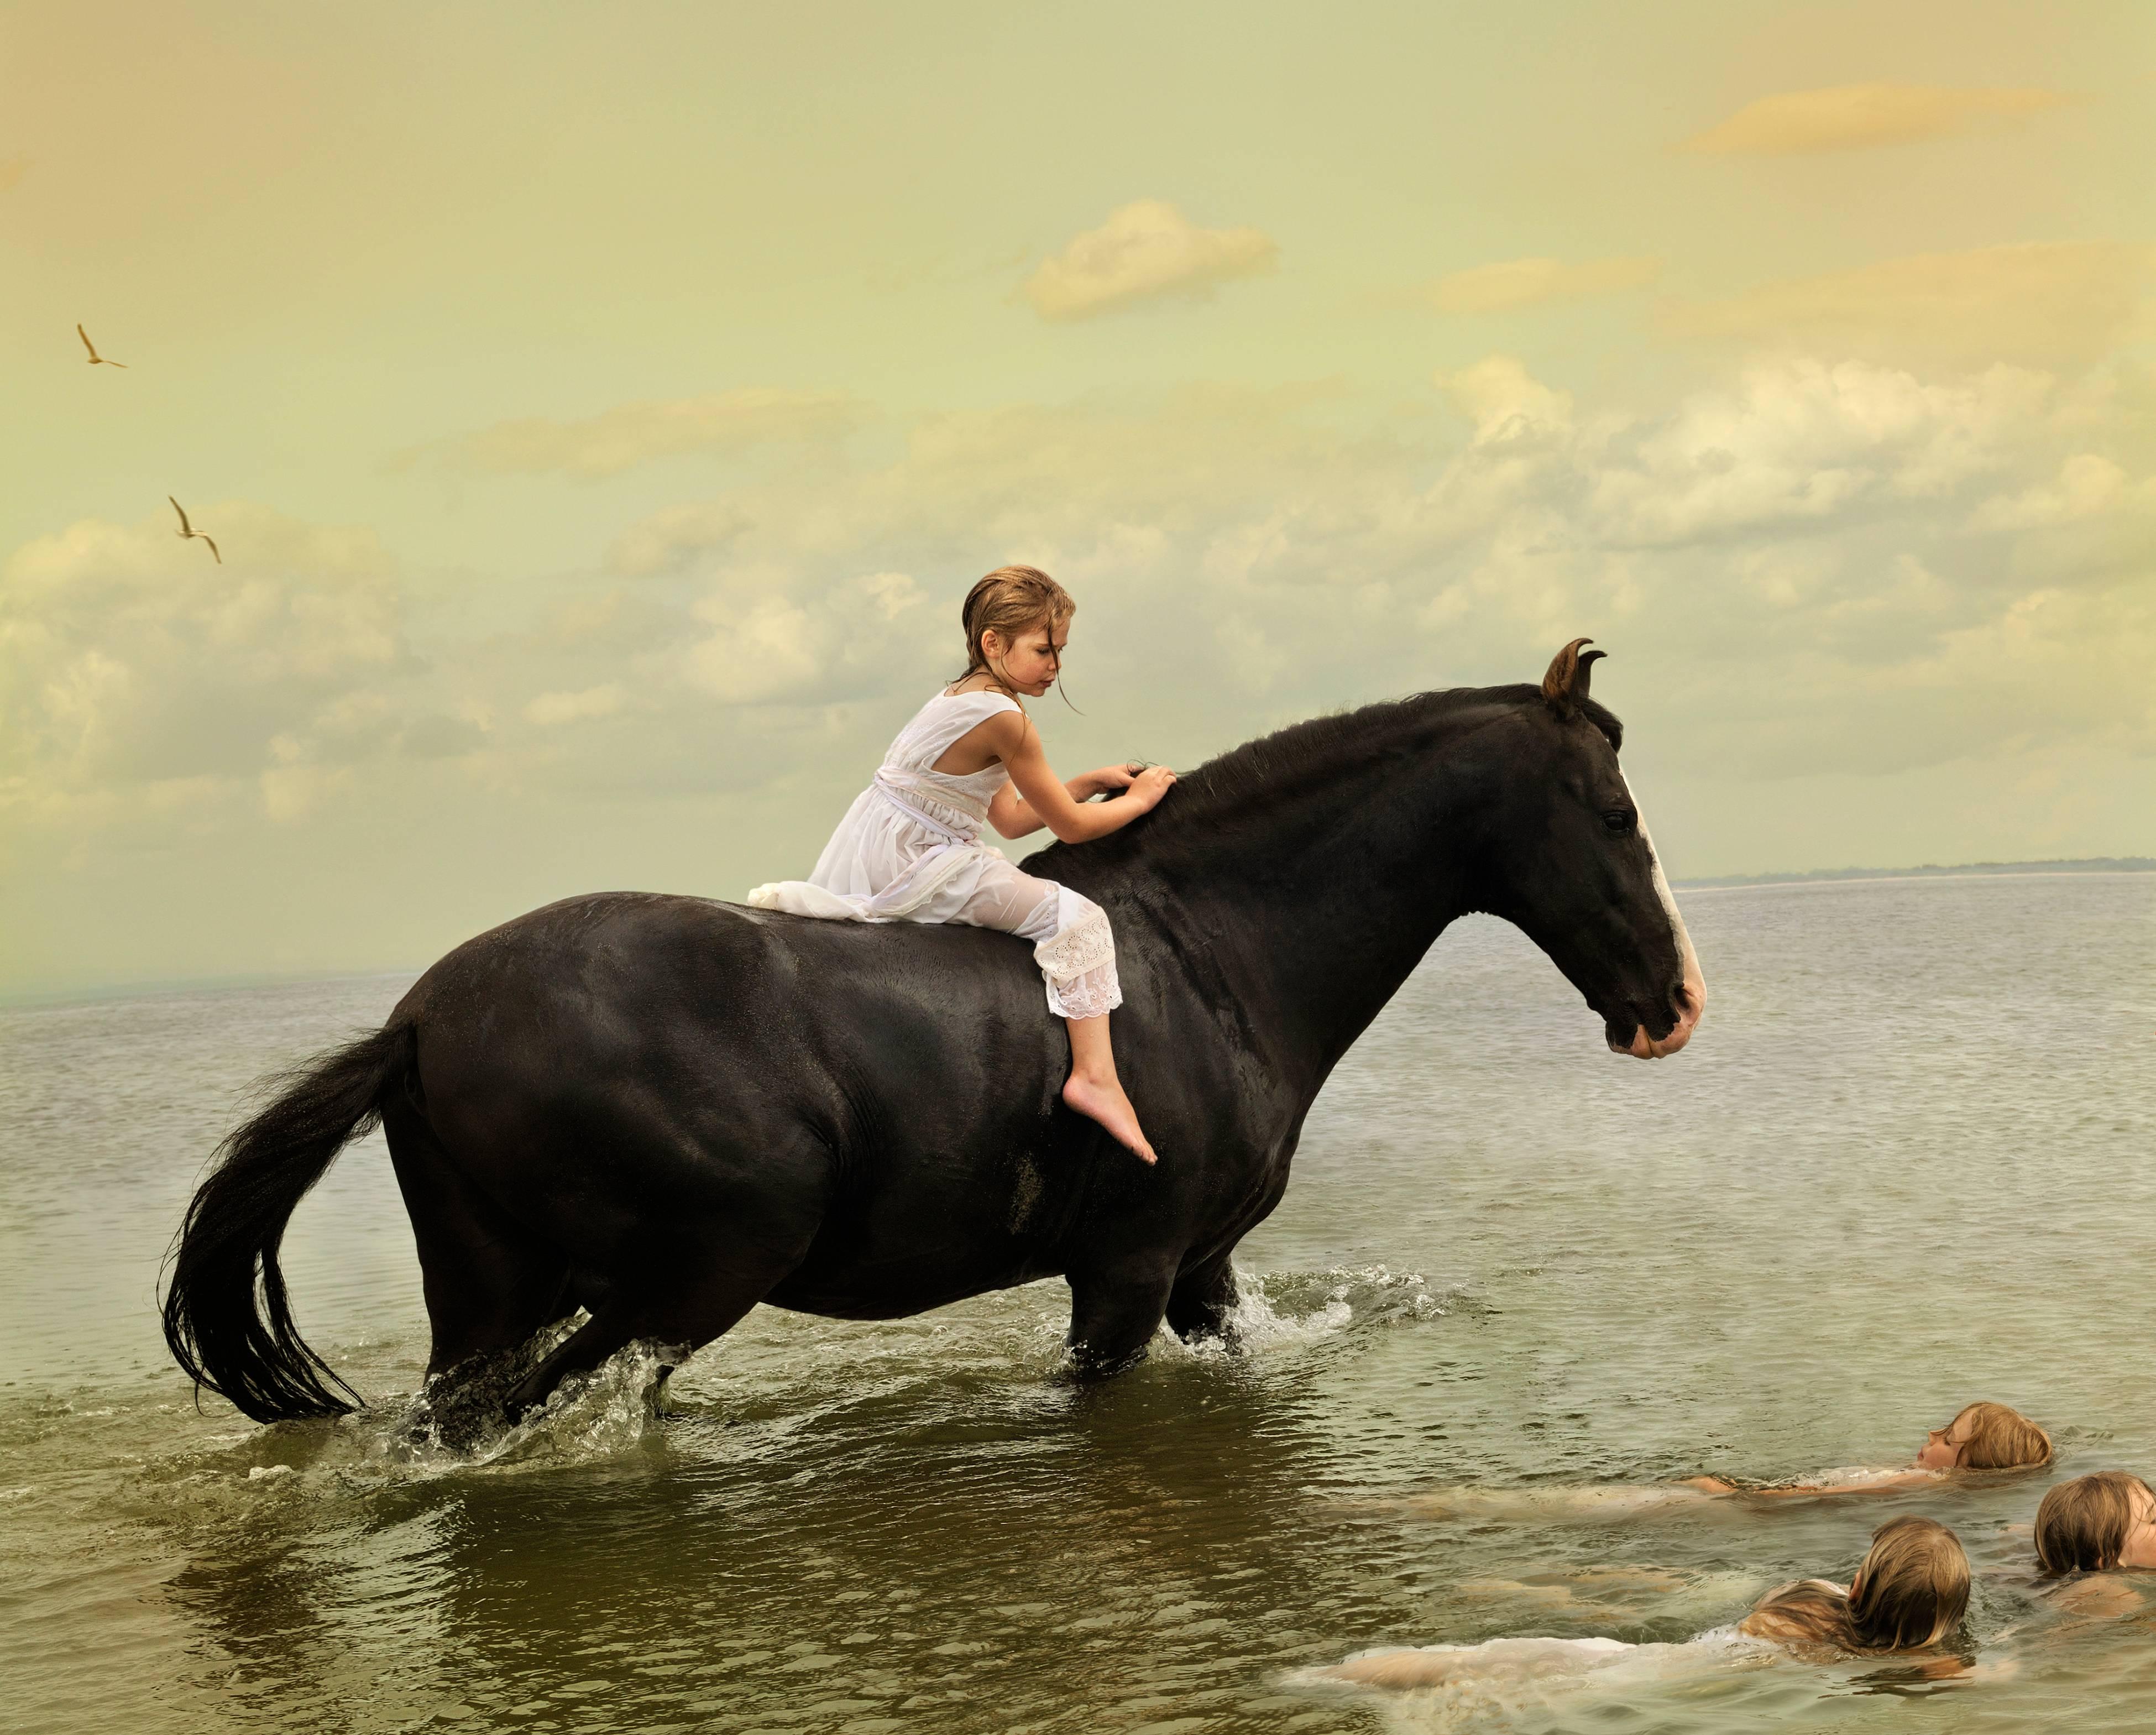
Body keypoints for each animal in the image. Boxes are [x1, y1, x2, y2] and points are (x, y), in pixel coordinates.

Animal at [164, 637, 1699, 1422]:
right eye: (1617, 813)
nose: (1674, 1008)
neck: (1209, 955)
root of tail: (420, 1019)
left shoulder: (1202, 1269)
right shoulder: (1126, 1272)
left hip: (496, 1290)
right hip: (699, 1273)